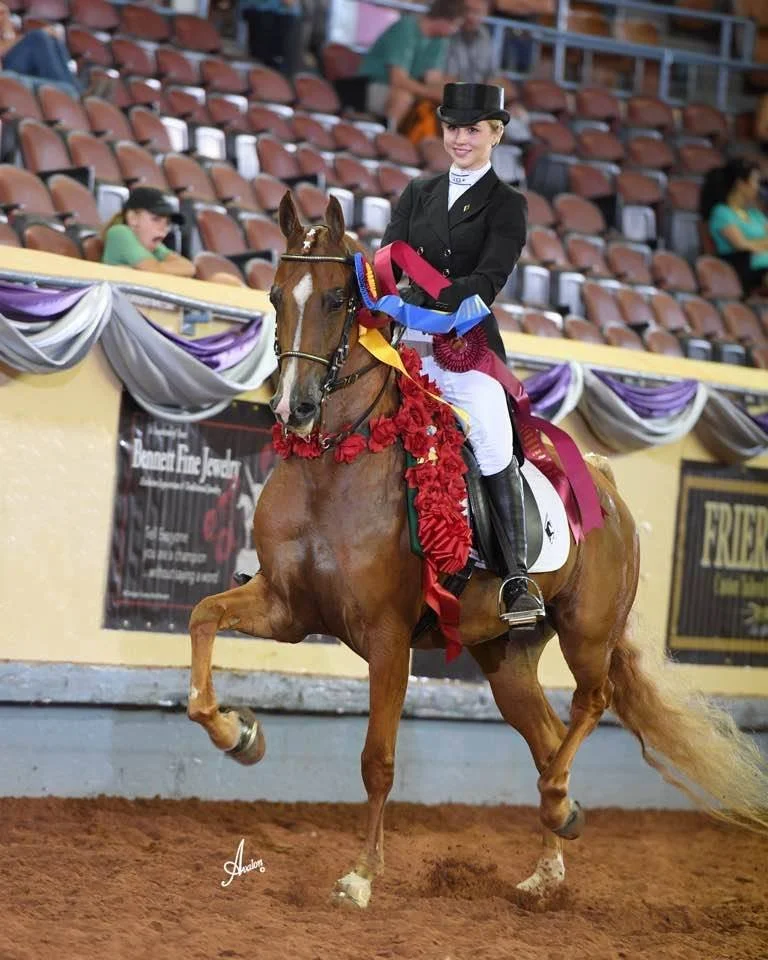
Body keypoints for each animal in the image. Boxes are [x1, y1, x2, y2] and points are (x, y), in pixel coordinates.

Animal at [187, 192, 768, 909]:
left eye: (335, 299)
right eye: (274, 295)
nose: (291, 411)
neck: (336, 462)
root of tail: (604, 482)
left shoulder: (387, 638)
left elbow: (378, 759)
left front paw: (360, 876)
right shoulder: (287, 607)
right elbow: (204, 618)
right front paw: (239, 734)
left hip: (587, 632)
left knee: (592, 703)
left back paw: (558, 807)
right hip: (506, 658)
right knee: (546, 737)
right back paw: (549, 856)